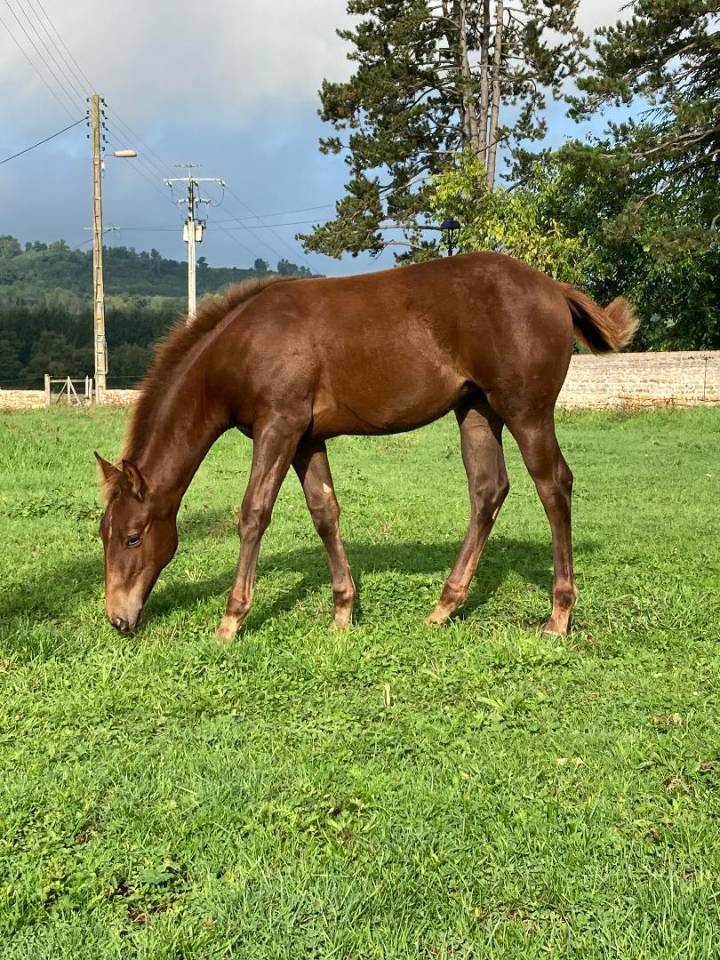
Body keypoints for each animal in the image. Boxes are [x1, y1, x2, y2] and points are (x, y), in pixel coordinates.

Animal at [96, 251, 635, 641]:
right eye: (104, 534)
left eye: (134, 537)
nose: (118, 619)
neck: (243, 344)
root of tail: (553, 288)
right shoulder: (306, 438)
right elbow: (324, 513)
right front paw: (343, 611)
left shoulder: (279, 426)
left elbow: (253, 513)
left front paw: (231, 620)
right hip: (477, 411)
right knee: (488, 490)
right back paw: (443, 606)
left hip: (526, 411)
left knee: (553, 485)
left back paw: (558, 616)